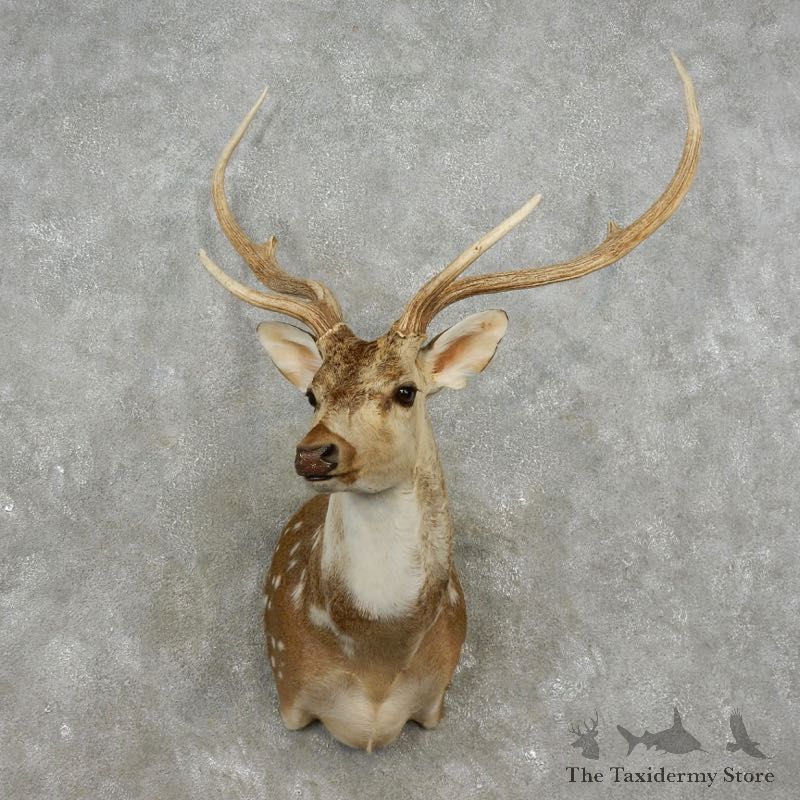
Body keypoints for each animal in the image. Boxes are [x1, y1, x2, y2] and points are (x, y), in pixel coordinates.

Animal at [197, 54, 701, 751]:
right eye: (311, 392)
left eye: (406, 390)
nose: (316, 452)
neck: (377, 668)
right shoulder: (290, 692)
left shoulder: (435, 701)